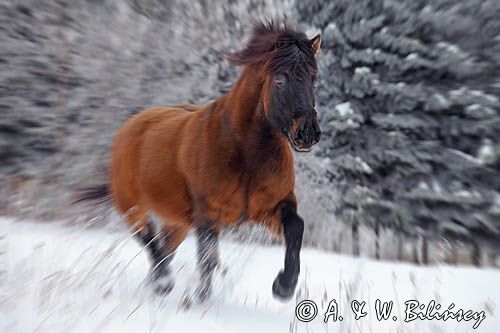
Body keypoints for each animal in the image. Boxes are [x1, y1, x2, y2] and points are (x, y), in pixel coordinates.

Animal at [77, 20, 320, 300]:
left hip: (177, 222)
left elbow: (296, 229)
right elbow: (207, 259)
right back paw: (163, 283)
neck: (245, 154)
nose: (307, 133)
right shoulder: (207, 215)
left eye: (314, 80)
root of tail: (131, 125)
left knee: (165, 247)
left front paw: (284, 286)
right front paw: (200, 299)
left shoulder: (271, 207)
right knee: (151, 243)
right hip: (133, 208)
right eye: (280, 79)